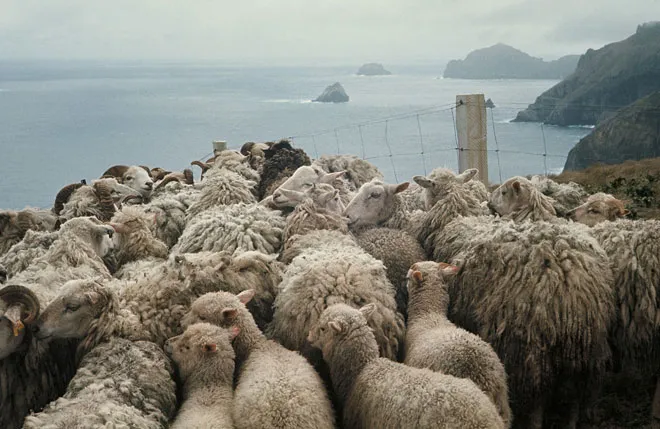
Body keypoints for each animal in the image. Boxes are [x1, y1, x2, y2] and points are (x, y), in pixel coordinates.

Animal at [447, 220, 615, 429]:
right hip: (585, 348)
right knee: (574, 394)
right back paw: (571, 422)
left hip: (531, 350)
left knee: (538, 399)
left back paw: (535, 422)